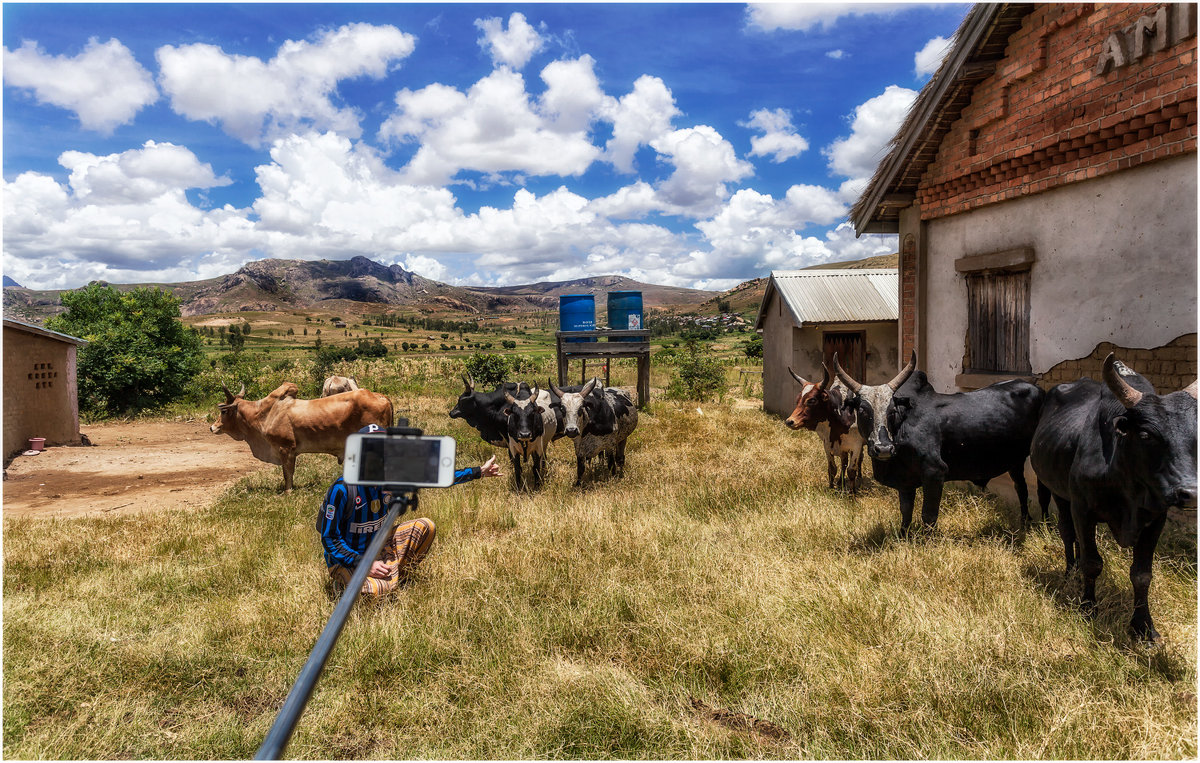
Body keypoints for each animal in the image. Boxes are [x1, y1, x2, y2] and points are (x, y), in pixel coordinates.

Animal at [208, 379, 391, 489]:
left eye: (224, 411)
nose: (212, 427)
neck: (264, 414)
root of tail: (382, 397)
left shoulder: (285, 449)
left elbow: (287, 473)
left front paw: (288, 492)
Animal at [835, 350, 1051, 530]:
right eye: (863, 410)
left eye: (892, 411)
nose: (884, 449)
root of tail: (1038, 390)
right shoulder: (905, 482)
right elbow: (906, 513)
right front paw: (904, 536)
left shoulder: (934, 473)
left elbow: (928, 516)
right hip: (1015, 460)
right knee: (1021, 488)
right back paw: (1025, 522)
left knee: (1043, 494)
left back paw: (1045, 525)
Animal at [1027, 355, 1195, 643]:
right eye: (1146, 435)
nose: (1190, 493)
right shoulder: (1083, 510)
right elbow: (1092, 563)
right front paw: (1087, 608)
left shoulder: (1156, 519)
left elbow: (1141, 574)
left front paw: (1143, 627)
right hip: (1059, 493)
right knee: (1067, 533)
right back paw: (1070, 573)